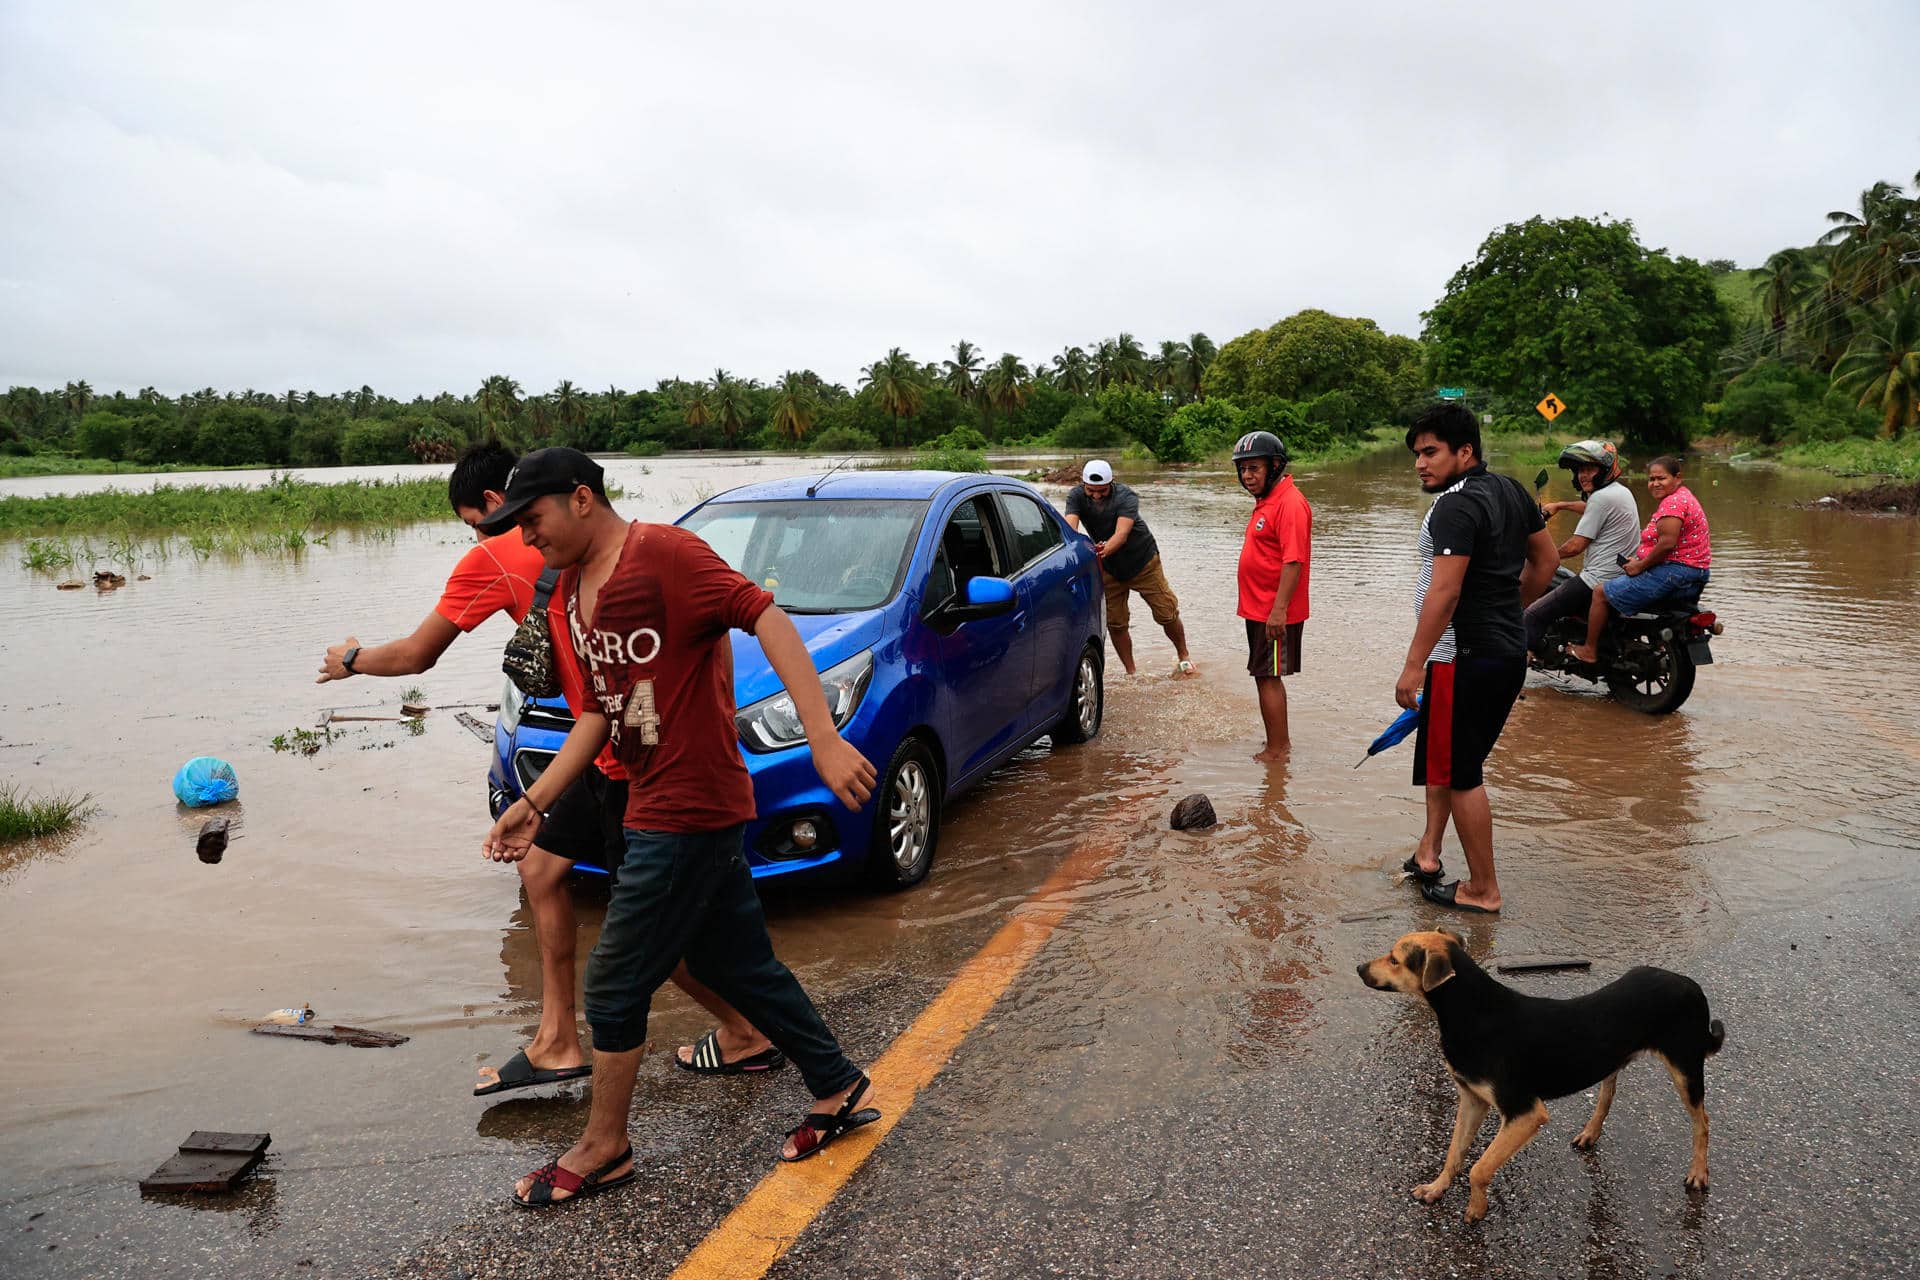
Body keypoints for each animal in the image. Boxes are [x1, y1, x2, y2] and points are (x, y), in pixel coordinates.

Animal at [1367, 932, 1728, 1220]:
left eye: (1395, 959)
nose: (1359, 969)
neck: (1472, 1012)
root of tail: (1689, 984)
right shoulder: (1472, 1100)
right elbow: (1454, 1153)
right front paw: (1436, 1188)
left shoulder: (1525, 1113)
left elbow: (1479, 1168)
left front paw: (1477, 1209)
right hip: (1613, 1059)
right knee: (1608, 1093)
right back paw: (1590, 1133)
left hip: (1685, 1068)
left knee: (1702, 1122)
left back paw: (1698, 1173)